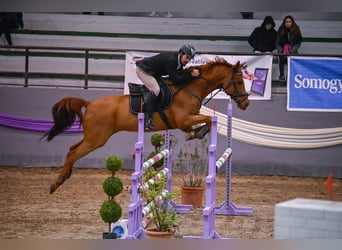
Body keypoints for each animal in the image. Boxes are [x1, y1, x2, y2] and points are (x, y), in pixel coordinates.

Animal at [44, 57, 250, 193]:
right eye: (239, 81)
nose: (245, 104)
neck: (190, 88)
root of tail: (89, 104)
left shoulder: (185, 121)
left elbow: (202, 123)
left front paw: (193, 133)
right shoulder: (184, 119)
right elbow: (207, 120)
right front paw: (197, 133)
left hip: (92, 138)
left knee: (72, 149)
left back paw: (64, 176)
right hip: (96, 139)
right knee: (74, 153)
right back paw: (56, 183)